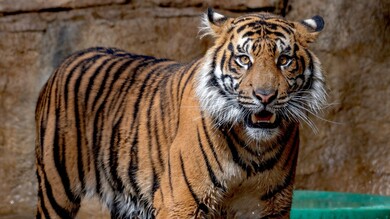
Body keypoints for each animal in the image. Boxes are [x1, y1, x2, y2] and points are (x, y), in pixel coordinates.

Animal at [35, 8, 326, 219]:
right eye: (244, 59)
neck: (254, 148)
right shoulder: (180, 202)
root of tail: (72, 57)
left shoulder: (271, 207)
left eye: (284, 60)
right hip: (55, 189)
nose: (265, 96)